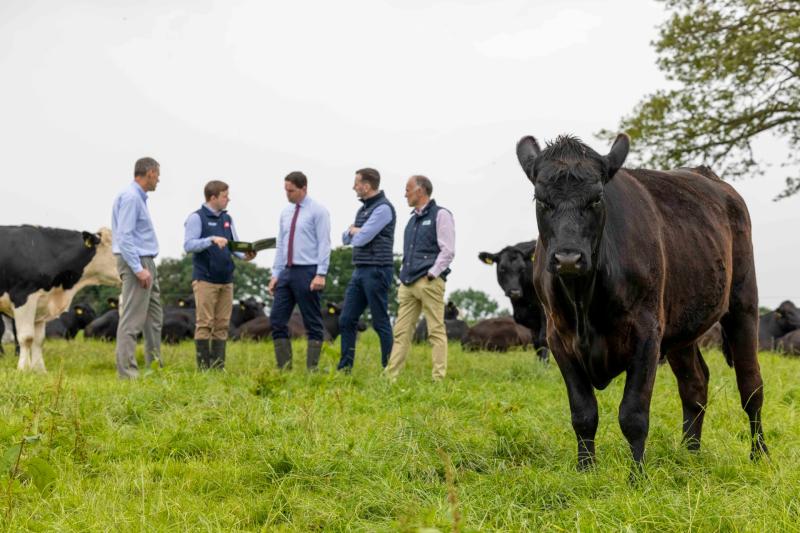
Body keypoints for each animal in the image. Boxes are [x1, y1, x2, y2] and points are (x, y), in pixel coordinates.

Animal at [0, 226, 120, 371]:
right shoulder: (22, 297)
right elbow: (26, 337)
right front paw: (23, 369)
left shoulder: (42, 303)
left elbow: (38, 340)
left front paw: (39, 370)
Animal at [516, 133, 767, 472]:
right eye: (541, 201)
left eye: (596, 199)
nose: (568, 258)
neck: (584, 301)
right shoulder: (558, 337)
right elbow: (583, 413)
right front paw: (586, 470)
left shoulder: (647, 333)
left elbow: (633, 414)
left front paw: (637, 476)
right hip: (681, 326)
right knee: (695, 385)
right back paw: (689, 454)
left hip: (743, 303)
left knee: (751, 386)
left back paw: (759, 454)